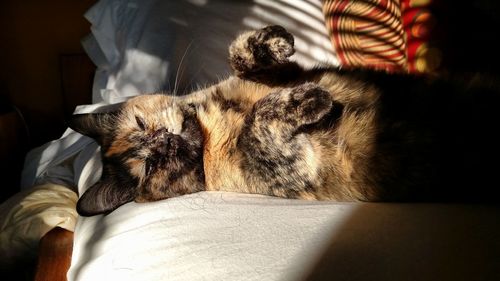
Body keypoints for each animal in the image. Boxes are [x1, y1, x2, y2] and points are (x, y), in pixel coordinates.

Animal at [69, 25, 500, 215]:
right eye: (152, 166)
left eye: (142, 125)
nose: (164, 141)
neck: (211, 126)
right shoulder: (290, 164)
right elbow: (259, 123)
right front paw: (311, 98)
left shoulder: (285, 74)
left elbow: (238, 53)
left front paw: (275, 39)